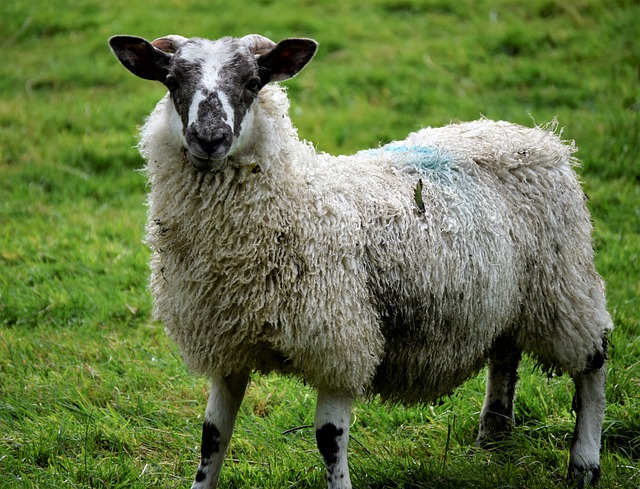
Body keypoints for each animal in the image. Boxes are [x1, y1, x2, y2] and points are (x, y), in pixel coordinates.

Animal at [107, 32, 612, 486]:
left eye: (253, 82)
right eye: (171, 81)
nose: (209, 138)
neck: (296, 198)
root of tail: (534, 134)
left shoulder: (340, 341)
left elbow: (329, 439)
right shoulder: (228, 343)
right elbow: (212, 436)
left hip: (563, 282)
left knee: (594, 357)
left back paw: (584, 463)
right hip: (509, 292)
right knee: (505, 349)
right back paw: (494, 431)